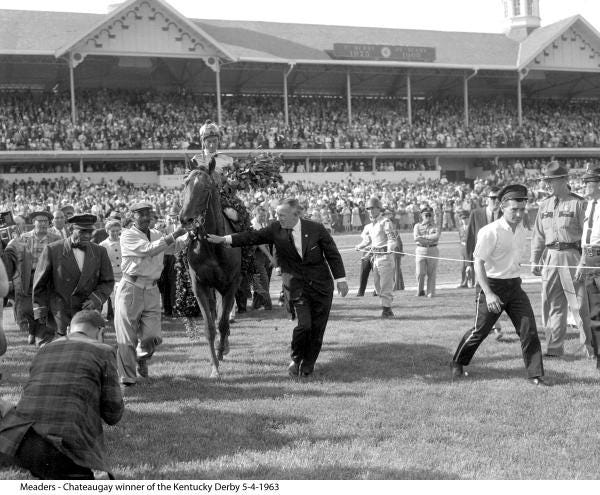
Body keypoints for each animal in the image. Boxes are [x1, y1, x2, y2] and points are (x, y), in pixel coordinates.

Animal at [180, 167, 241, 380]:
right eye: (186, 183)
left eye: (206, 188)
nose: (185, 218)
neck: (212, 246)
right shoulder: (199, 285)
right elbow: (210, 326)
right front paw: (214, 366)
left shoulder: (230, 284)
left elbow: (222, 323)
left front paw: (221, 351)